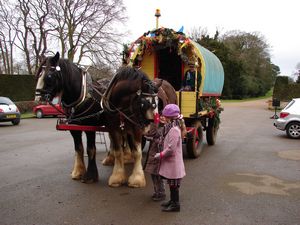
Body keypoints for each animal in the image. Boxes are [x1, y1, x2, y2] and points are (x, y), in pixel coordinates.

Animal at [35, 52, 108, 183]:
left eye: (49, 76)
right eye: (38, 74)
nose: (37, 98)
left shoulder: (90, 127)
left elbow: (90, 149)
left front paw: (90, 176)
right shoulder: (74, 127)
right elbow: (78, 148)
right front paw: (78, 171)